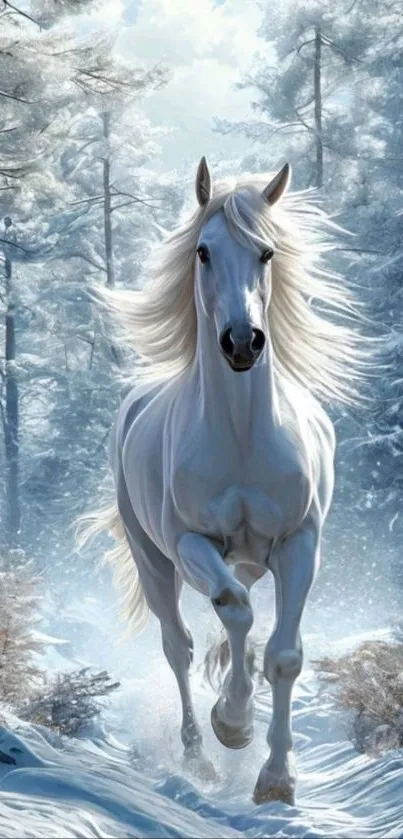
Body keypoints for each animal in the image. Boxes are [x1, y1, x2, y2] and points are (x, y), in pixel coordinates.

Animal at [79, 158, 361, 805]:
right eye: (203, 252)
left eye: (267, 252)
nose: (241, 342)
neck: (242, 438)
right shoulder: (193, 544)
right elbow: (233, 611)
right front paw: (232, 724)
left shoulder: (300, 544)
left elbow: (283, 654)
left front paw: (276, 779)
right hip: (155, 562)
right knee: (180, 645)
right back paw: (199, 757)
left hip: (252, 559)